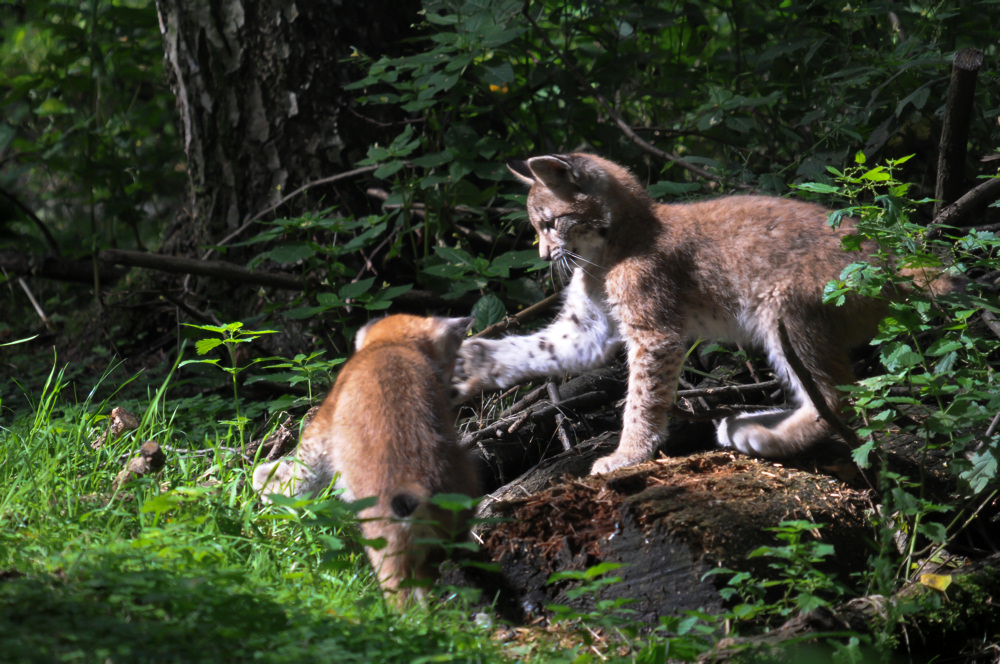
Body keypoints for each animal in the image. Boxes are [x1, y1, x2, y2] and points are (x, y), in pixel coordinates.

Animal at [254, 314, 480, 604]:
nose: (454, 386)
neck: (394, 343)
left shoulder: (321, 430)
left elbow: (300, 475)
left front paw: (265, 483)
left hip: (383, 538)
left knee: (401, 594)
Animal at [454, 154, 944, 478]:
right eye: (539, 227)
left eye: (551, 224)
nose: (542, 256)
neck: (606, 252)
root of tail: (891, 262)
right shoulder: (590, 328)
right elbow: (540, 347)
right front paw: (474, 361)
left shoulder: (655, 333)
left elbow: (642, 399)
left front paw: (629, 454)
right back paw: (752, 423)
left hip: (785, 310)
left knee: (836, 394)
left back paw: (765, 436)